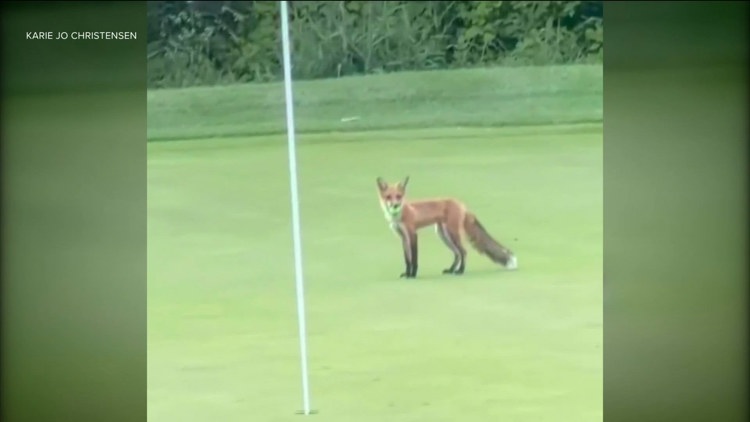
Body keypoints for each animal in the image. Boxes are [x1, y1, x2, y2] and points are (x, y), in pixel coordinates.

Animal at [376, 176, 517, 279]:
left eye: (398, 196)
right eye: (388, 197)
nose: (395, 205)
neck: (401, 214)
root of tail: (462, 204)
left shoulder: (412, 234)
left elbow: (414, 258)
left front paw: (412, 275)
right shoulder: (403, 237)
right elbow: (407, 259)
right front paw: (407, 273)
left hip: (452, 233)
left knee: (463, 252)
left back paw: (460, 271)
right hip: (443, 235)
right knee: (457, 254)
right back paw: (451, 270)